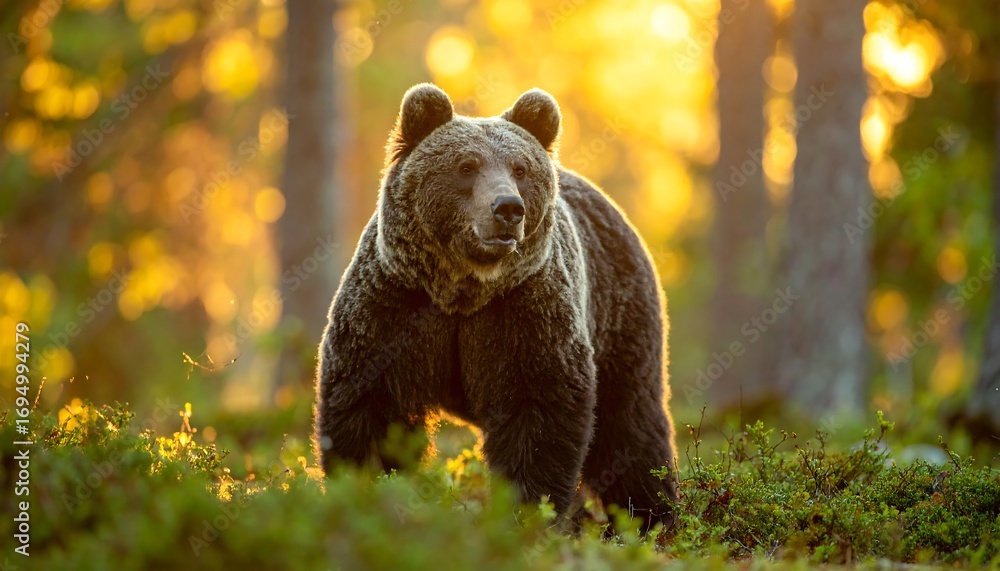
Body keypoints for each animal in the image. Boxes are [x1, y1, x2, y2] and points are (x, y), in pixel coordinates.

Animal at [314, 83, 678, 531]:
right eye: (466, 166)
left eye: (520, 169)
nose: (508, 207)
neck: (462, 290)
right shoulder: (395, 305)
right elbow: (370, 405)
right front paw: (370, 491)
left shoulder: (522, 313)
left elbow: (537, 413)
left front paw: (527, 511)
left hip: (619, 316)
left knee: (629, 423)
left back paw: (647, 518)